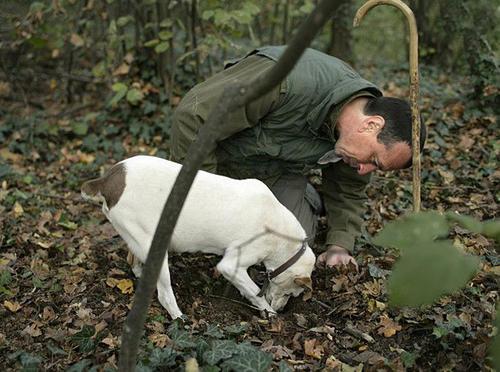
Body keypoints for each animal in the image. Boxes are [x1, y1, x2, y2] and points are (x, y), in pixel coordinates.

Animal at [82, 155, 316, 318]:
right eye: (292, 293)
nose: (283, 310)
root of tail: (108, 179)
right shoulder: (231, 265)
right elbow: (253, 290)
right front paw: (269, 312)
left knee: (134, 260)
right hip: (156, 248)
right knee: (164, 295)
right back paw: (179, 319)